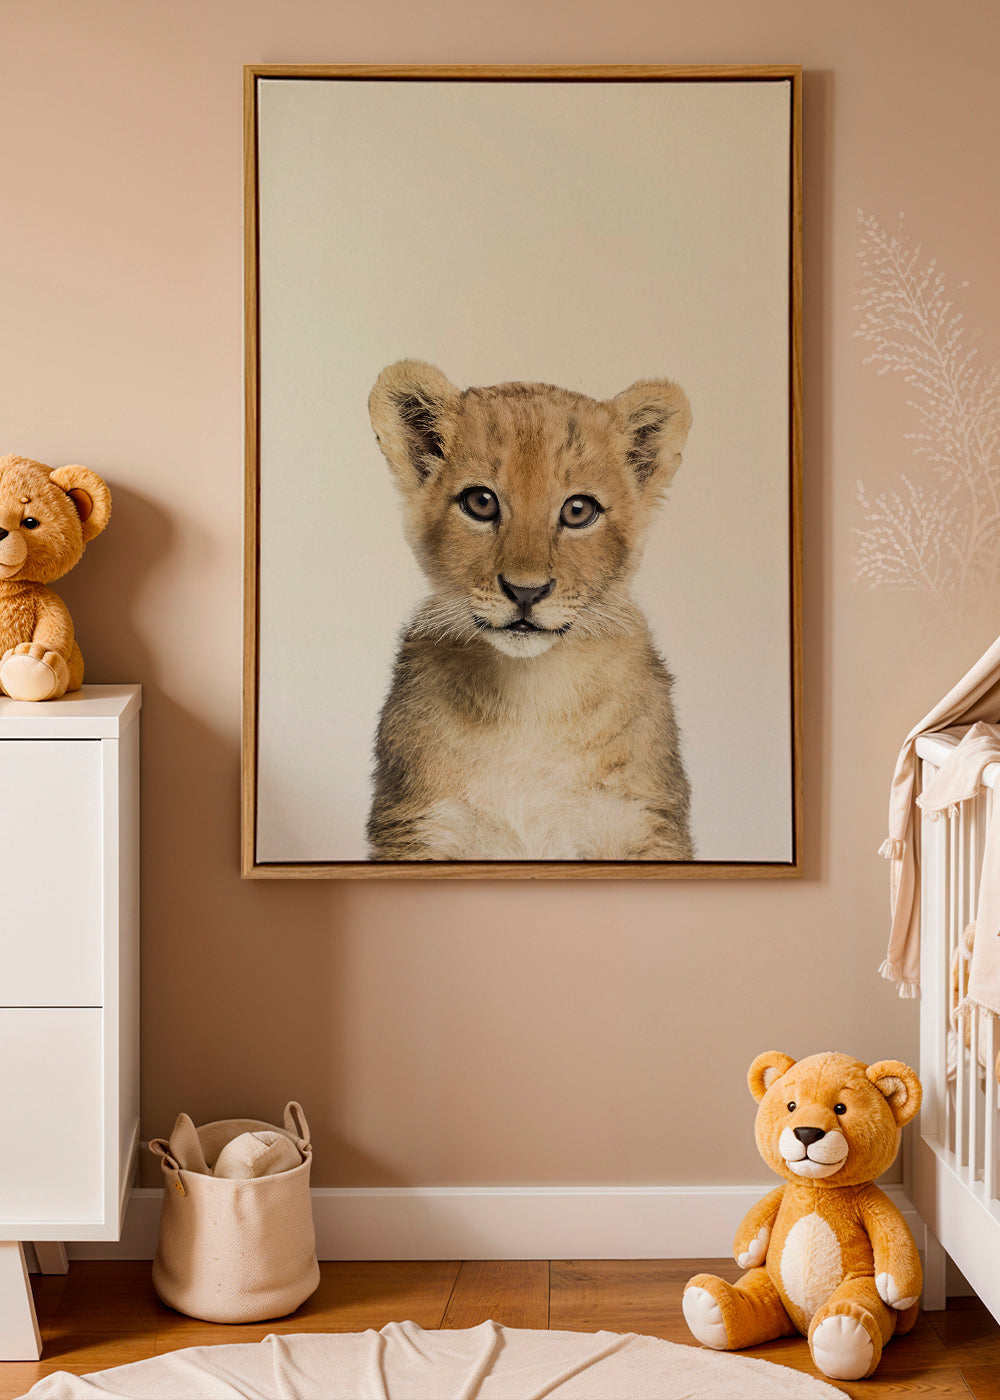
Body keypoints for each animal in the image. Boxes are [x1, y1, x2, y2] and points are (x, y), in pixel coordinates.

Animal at [366, 360, 694, 863]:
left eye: (578, 510)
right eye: (480, 502)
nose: (525, 592)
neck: (531, 696)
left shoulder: (646, 822)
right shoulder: (419, 826)